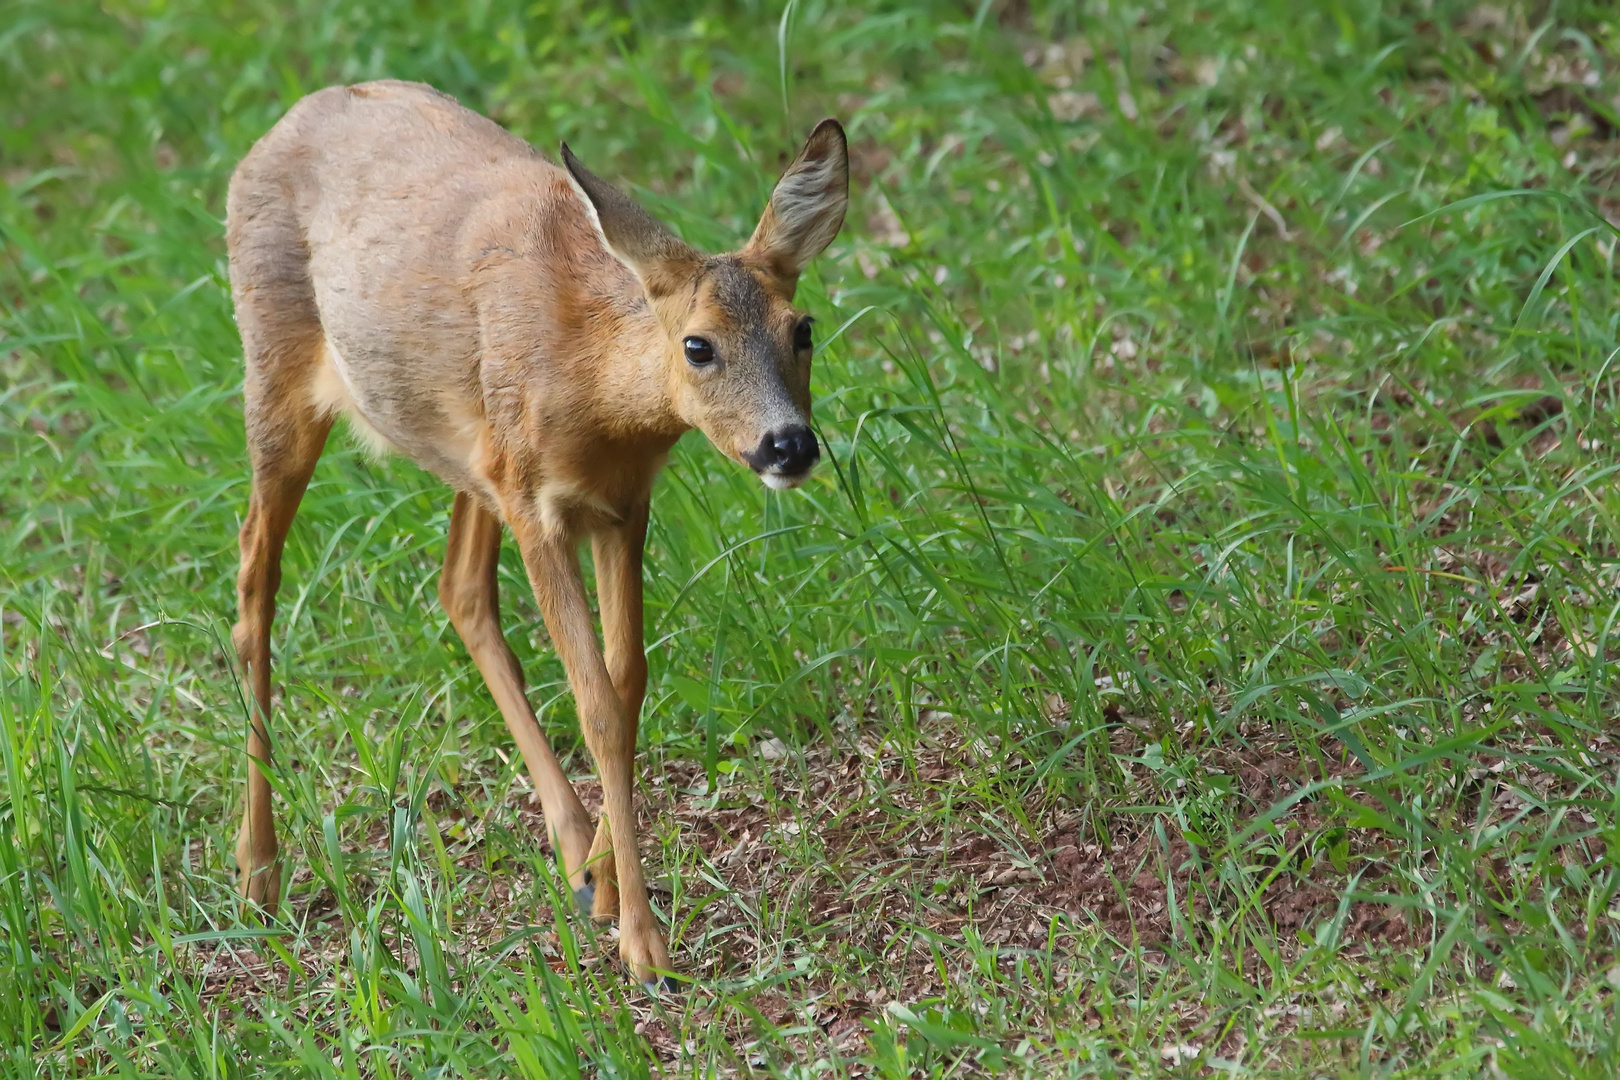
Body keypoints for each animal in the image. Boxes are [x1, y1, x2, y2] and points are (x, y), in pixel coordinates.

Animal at [228, 80, 855, 990]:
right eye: (698, 345)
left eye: (802, 329)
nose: (789, 445)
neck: (596, 389)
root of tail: (278, 125)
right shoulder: (538, 505)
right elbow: (594, 700)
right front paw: (645, 945)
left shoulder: (619, 508)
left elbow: (625, 685)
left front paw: (605, 882)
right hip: (275, 372)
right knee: (254, 586)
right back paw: (258, 872)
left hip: (471, 458)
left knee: (457, 588)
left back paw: (573, 852)